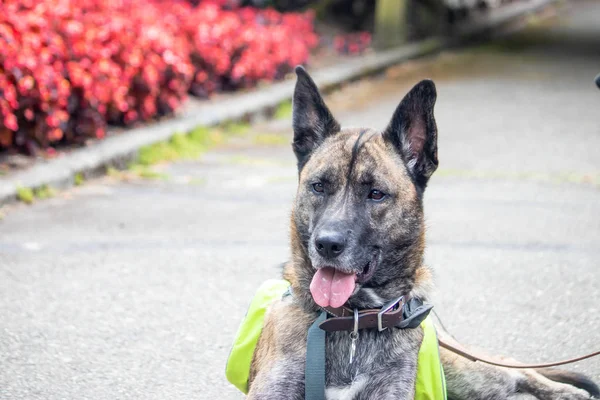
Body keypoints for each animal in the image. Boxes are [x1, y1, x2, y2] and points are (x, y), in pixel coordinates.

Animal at [246, 66, 596, 400]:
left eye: (376, 194)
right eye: (318, 186)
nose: (327, 245)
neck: (354, 320)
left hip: (468, 374)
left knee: (511, 368)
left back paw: (568, 392)